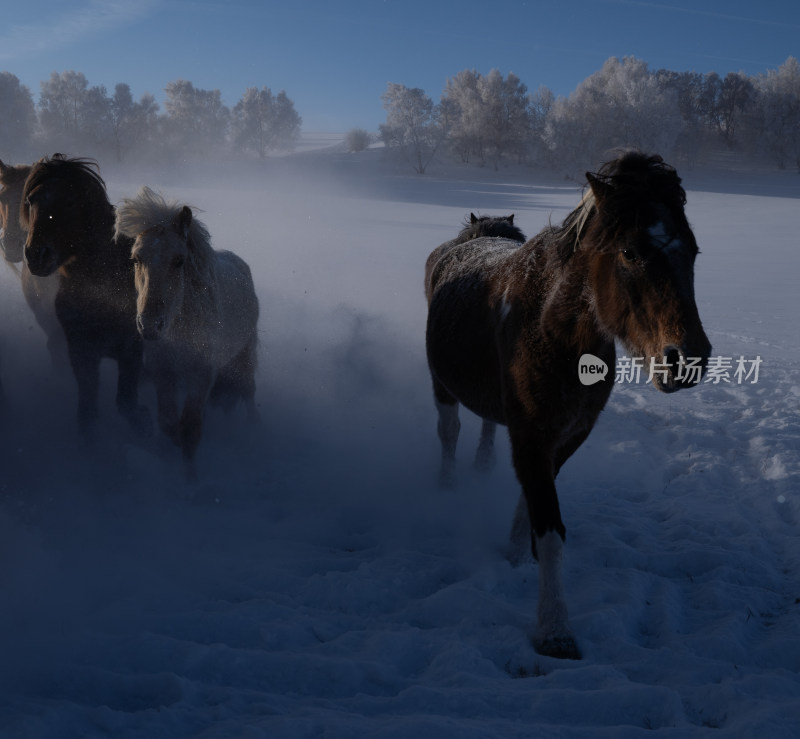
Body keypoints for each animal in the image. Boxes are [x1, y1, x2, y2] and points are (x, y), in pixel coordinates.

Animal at [22, 155, 151, 440]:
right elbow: (88, 414)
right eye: (31, 200)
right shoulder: (82, 353)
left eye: (70, 202)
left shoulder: (132, 352)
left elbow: (128, 406)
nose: (36, 255)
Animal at [424, 150, 712, 660]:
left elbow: (534, 500)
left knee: (484, 427)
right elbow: (551, 528)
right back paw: (448, 485)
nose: (687, 360)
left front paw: (516, 552)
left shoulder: (568, 434)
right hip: (442, 385)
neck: (550, 324)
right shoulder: (533, 434)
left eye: (693, 251)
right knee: (449, 432)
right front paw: (554, 628)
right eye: (630, 252)